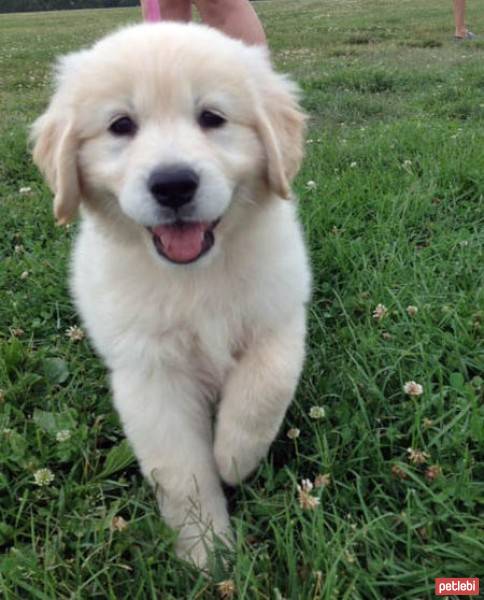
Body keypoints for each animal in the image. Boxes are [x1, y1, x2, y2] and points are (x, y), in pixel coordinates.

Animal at [32, 23, 310, 568]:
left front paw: (233, 457)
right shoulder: (150, 373)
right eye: (121, 125)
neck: (194, 277)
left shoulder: (281, 315)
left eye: (212, 118)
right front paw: (208, 552)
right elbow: (182, 472)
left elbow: (263, 386)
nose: (174, 184)